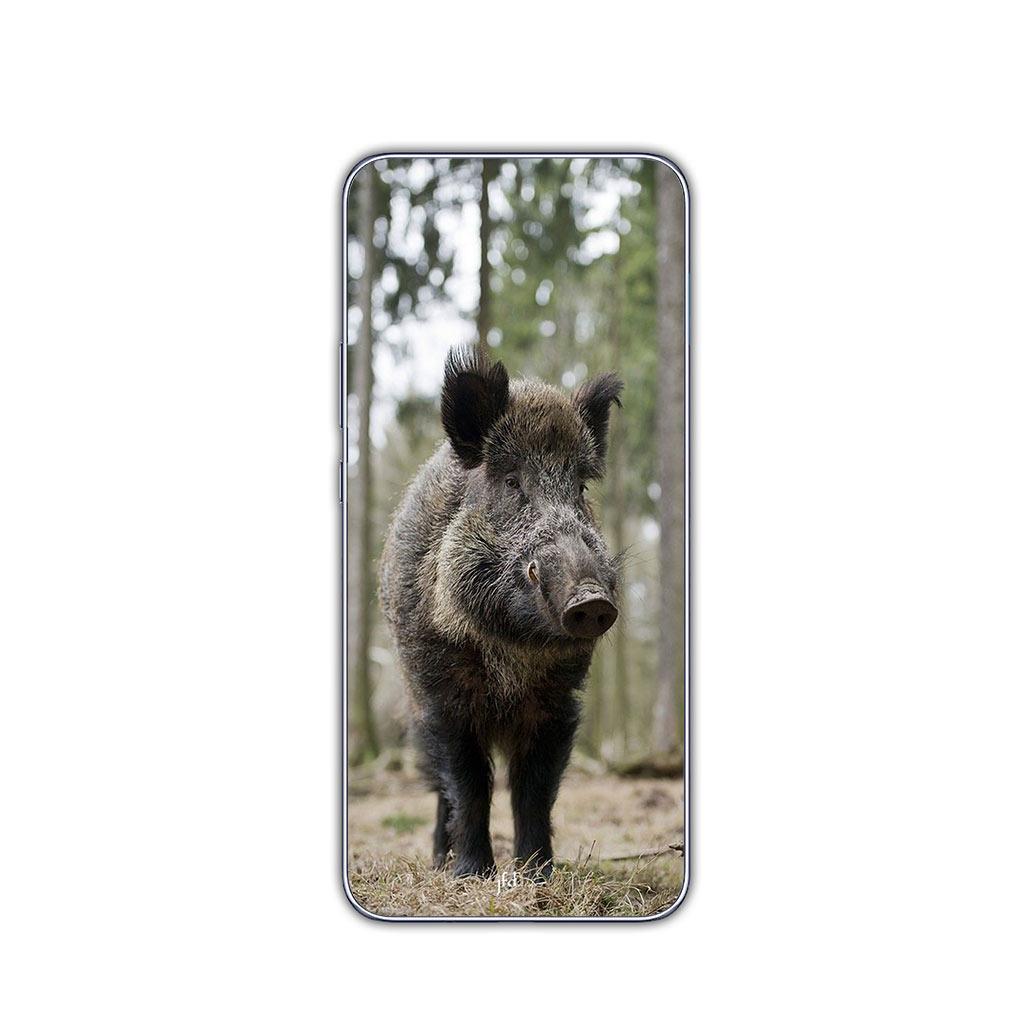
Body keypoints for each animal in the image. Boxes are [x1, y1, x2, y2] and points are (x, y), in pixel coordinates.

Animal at [379, 344, 623, 880]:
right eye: (512, 482)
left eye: (580, 488)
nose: (591, 599)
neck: (511, 651)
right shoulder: (442, 695)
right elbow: (469, 786)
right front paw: (472, 875)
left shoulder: (557, 701)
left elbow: (534, 791)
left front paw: (537, 875)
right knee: (440, 791)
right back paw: (438, 861)